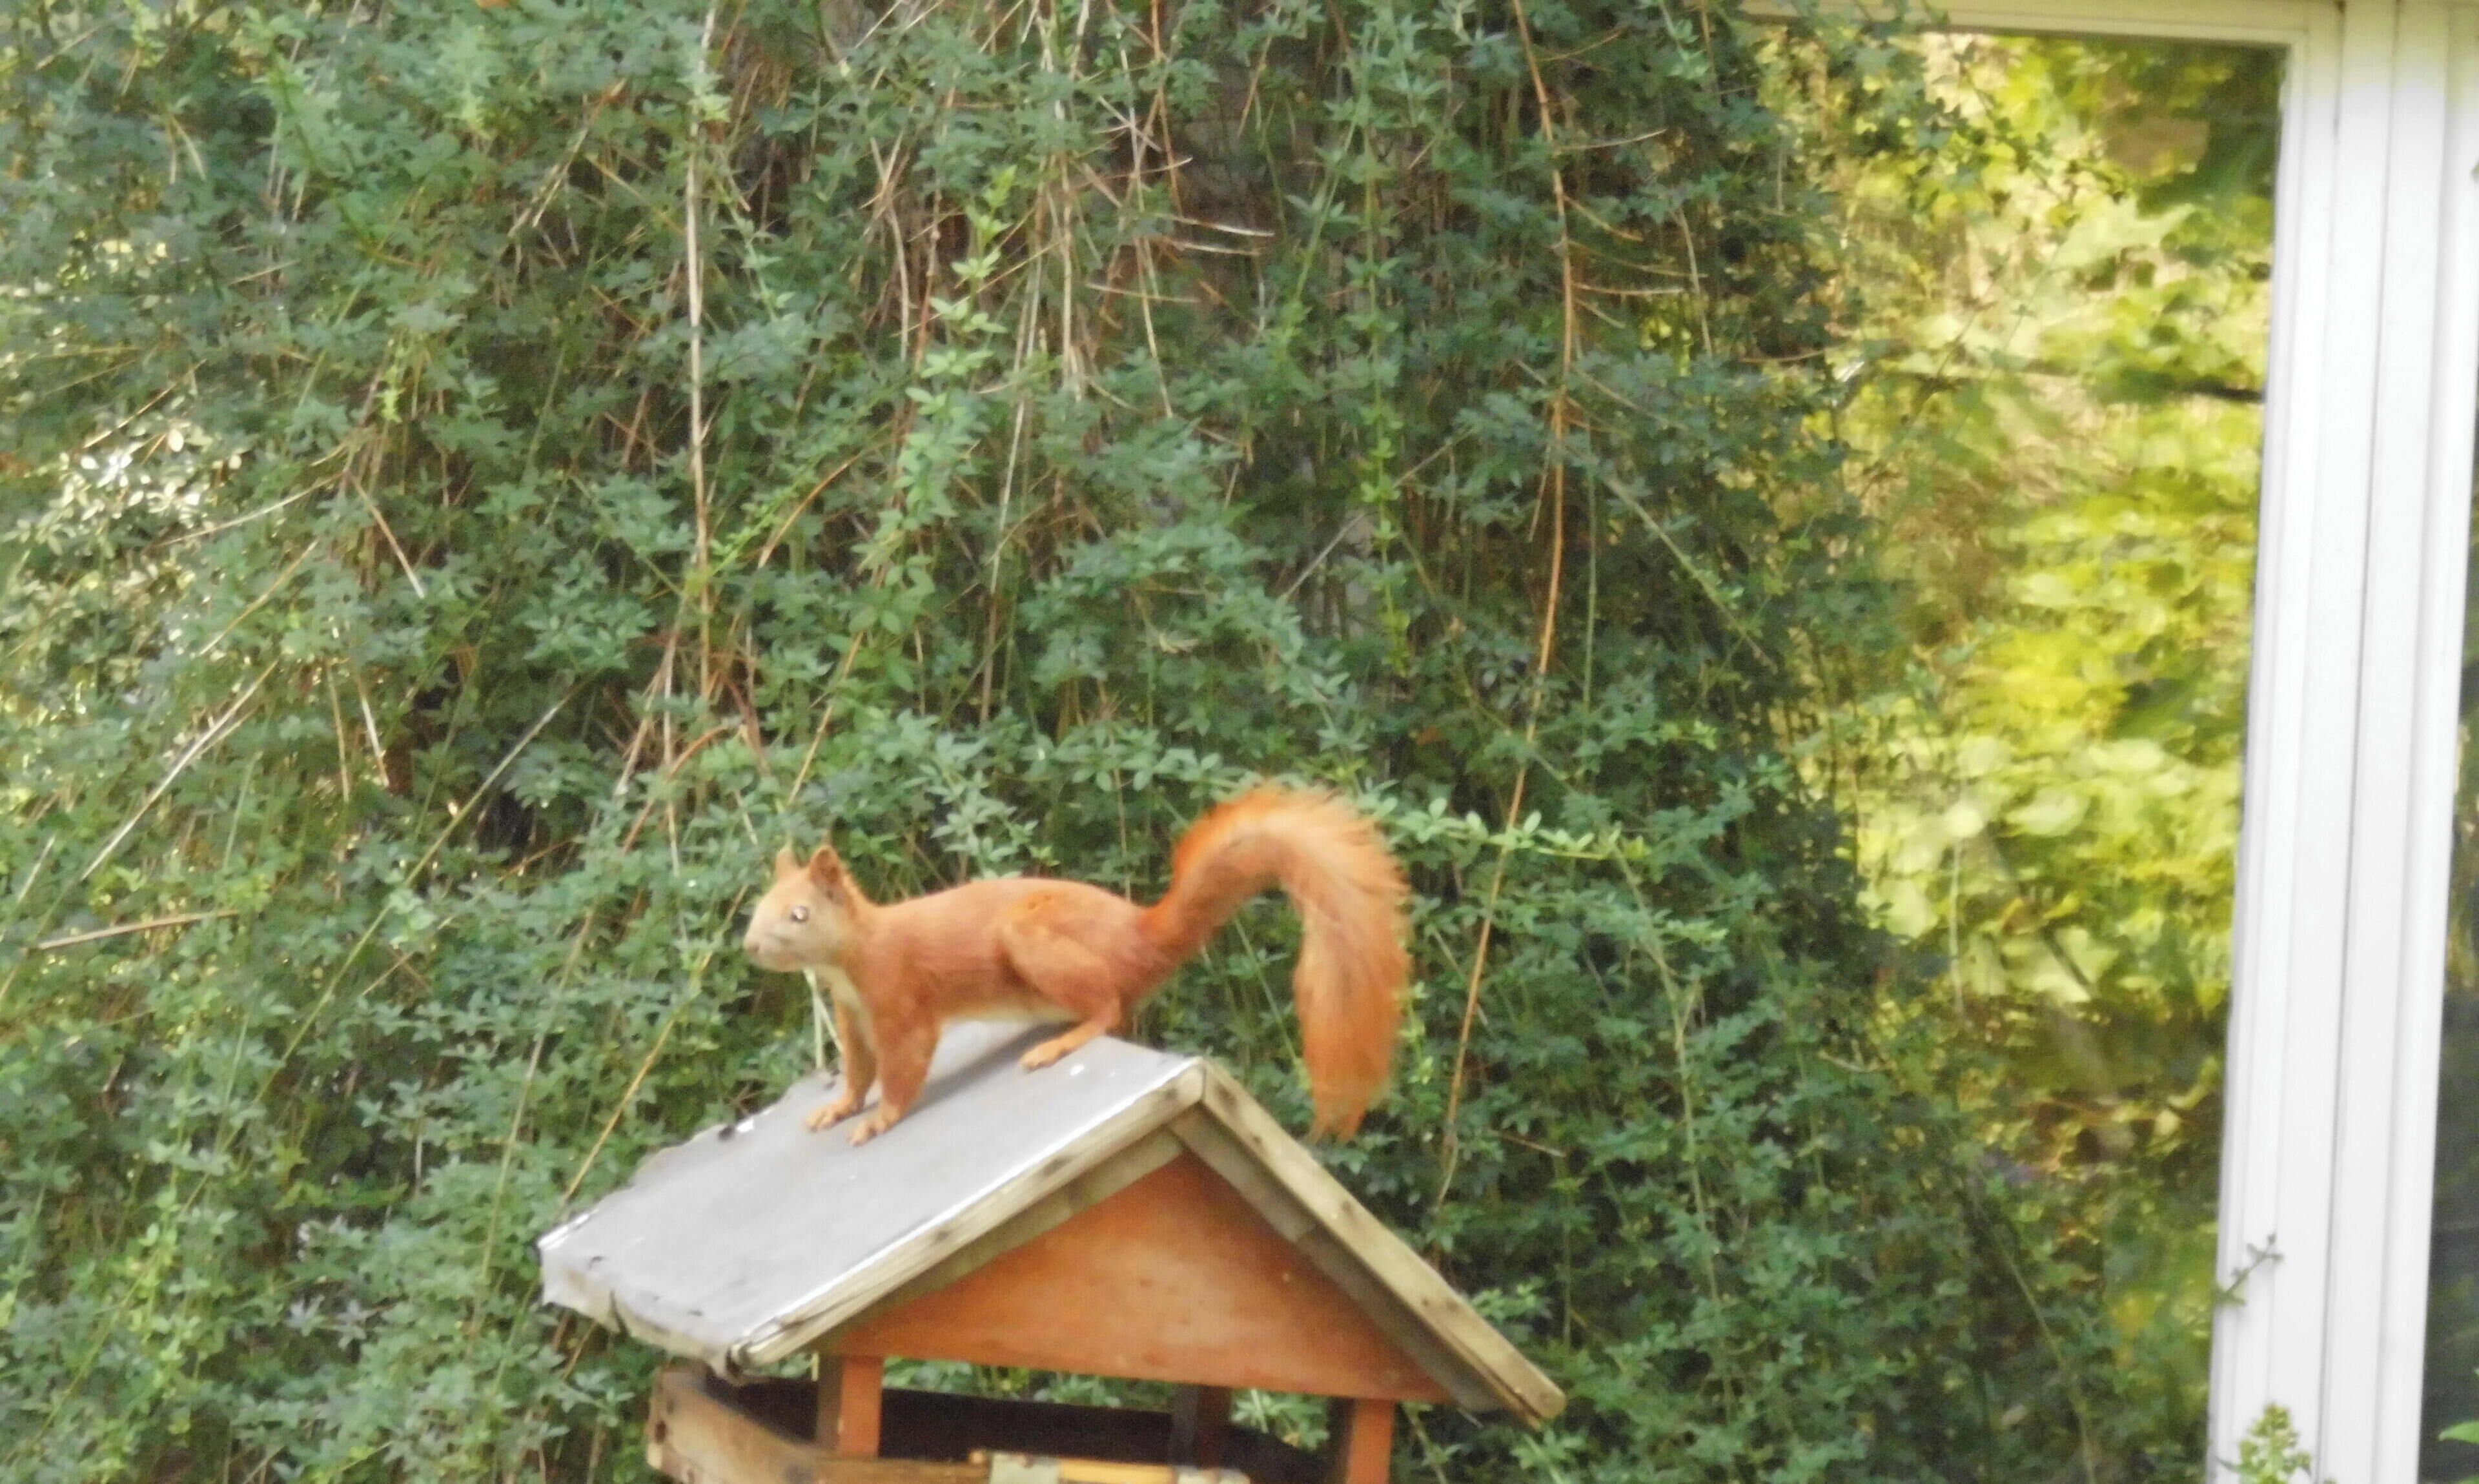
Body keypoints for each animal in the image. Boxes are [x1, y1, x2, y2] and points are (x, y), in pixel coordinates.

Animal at [741, 785, 1409, 1146]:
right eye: (758, 905)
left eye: (799, 913)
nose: (750, 945)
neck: (851, 960)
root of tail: (1140, 935)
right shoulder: (852, 1018)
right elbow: (858, 1072)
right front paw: (838, 1108)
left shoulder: (899, 998)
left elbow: (903, 1068)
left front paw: (878, 1121)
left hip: (1035, 938)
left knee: (1107, 1006)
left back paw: (1058, 1044)